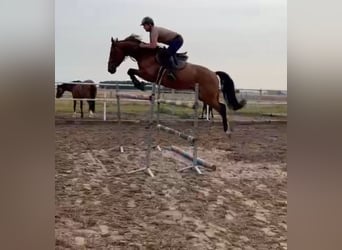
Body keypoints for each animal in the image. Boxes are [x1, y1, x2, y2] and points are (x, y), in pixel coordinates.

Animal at [107, 36, 246, 133]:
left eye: (112, 52)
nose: (110, 69)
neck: (145, 54)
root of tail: (213, 73)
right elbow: (130, 71)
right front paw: (139, 84)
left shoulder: (147, 74)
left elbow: (130, 71)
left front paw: (139, 85)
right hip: (205, 96)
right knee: (220, 106)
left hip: (208, 96)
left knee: (222, 107)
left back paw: (226, 131)